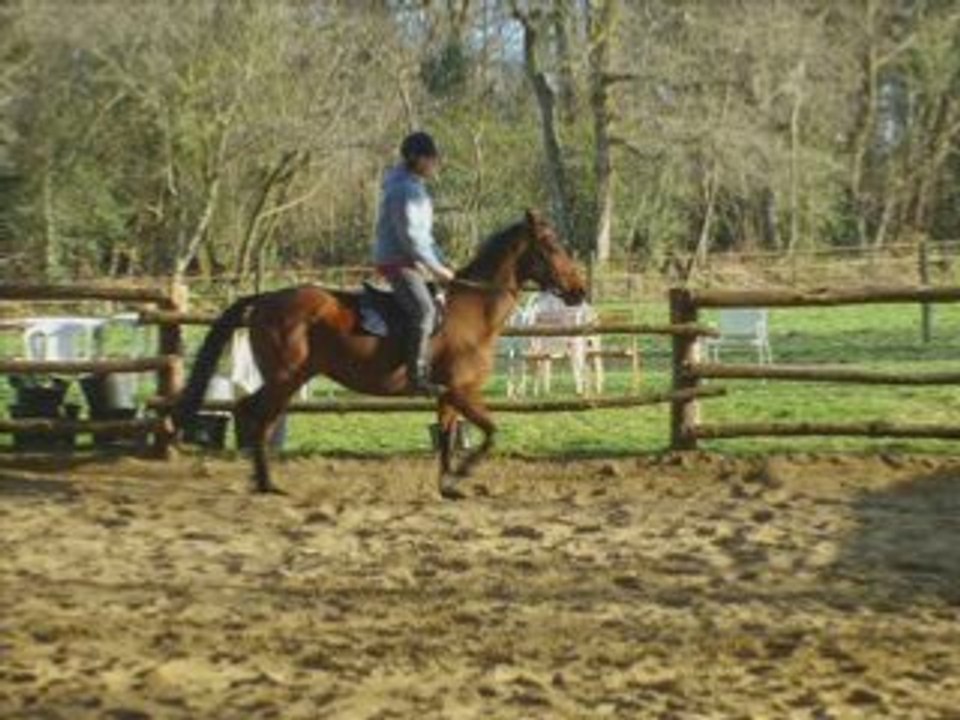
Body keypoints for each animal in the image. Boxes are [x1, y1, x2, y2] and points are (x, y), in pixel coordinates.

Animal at [172, 209, 587, 498]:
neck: (471, 310)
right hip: (286, 378)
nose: (580, 290)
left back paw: (263, 479)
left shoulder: (449, 397)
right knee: (254, 415)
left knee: (255, 414)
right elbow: (489, 433)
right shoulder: (462, 392)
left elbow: (448, 439)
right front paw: (463, 475)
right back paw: (263, 481)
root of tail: (266, 298)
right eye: (552, 247)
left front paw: (448, 486)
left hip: (288, 379)